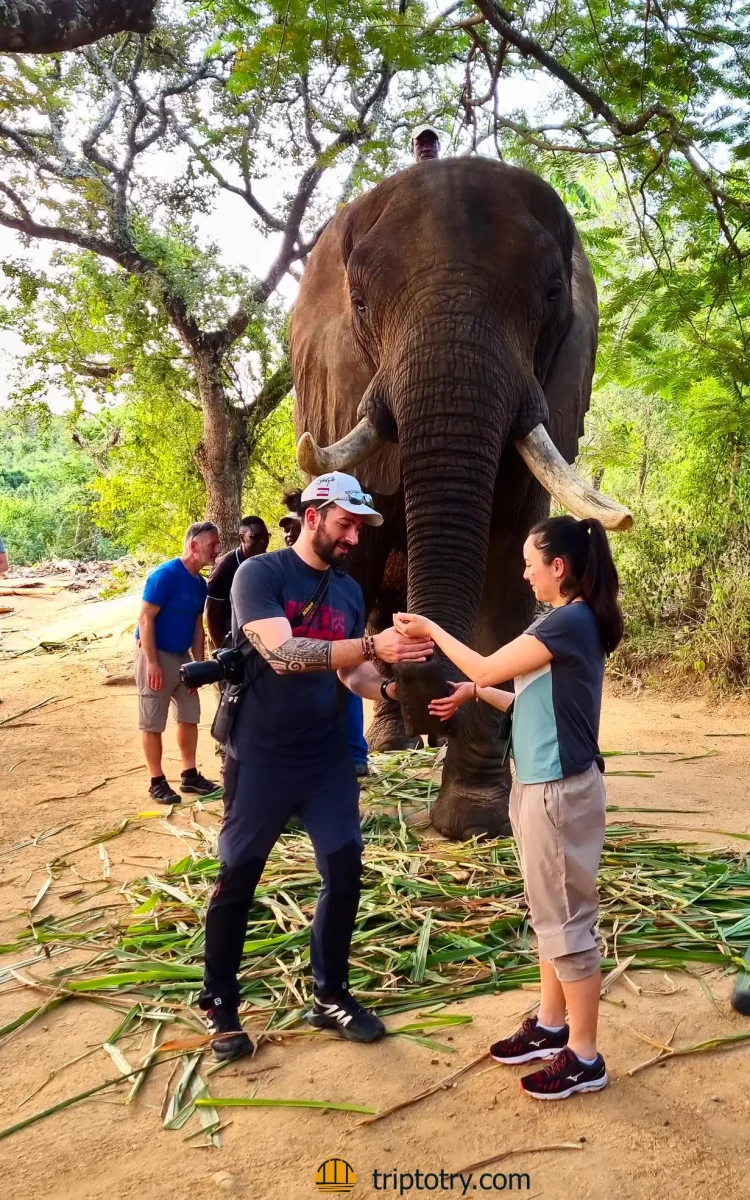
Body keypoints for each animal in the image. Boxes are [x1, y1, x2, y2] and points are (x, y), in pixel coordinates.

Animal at [289, 154, 628, 840]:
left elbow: (508, 579)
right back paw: (387, 745)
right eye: (359, 304)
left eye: (551, 296)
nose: (425, 675)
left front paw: (472, 822)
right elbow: (349, 572)